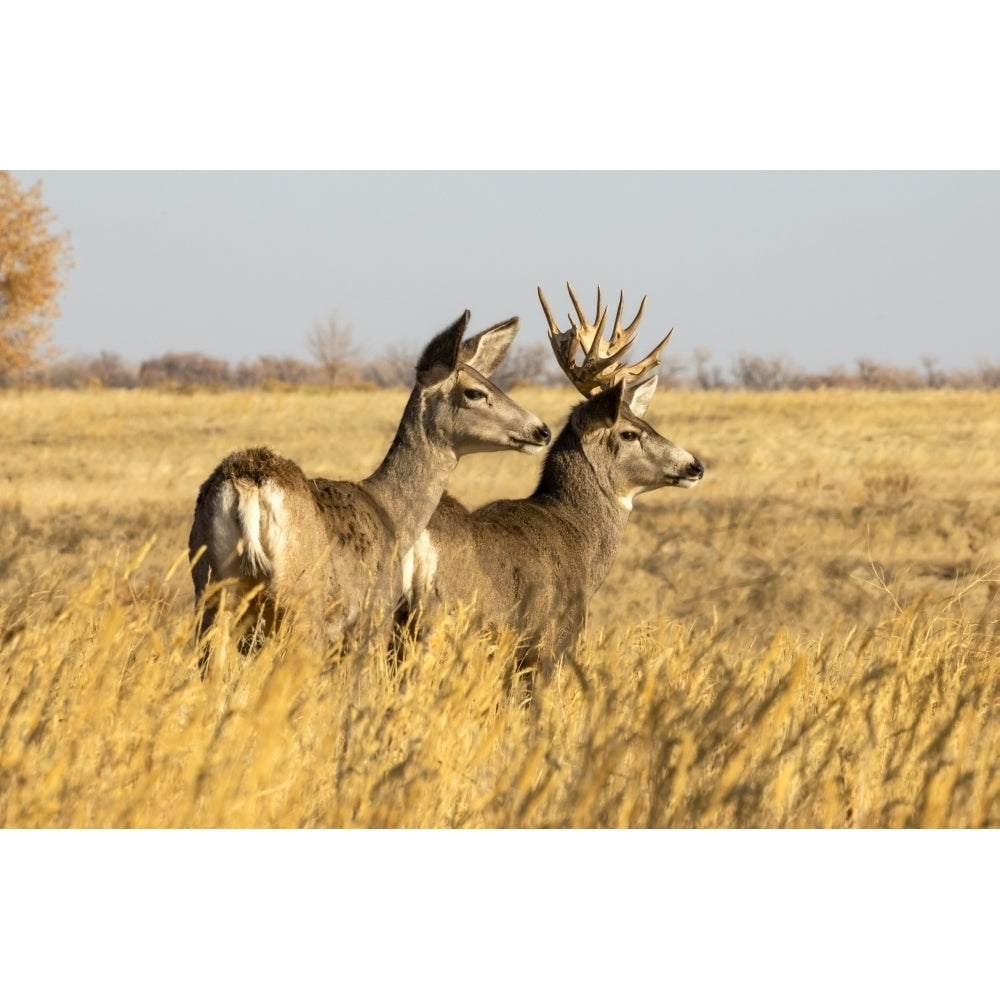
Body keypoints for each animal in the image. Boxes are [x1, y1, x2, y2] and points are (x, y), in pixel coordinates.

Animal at [184, 312, 552, 672]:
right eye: (474, 392)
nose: (541, 430)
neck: (393, 515)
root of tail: (250, 482)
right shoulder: (374, 612)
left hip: (212, 591)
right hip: (301, 602)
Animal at [396, 282, 704, 688]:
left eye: (646, 422)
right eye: (628, 432)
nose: (695, 465)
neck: (577, 535)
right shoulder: (549, 640)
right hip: (440, 624)